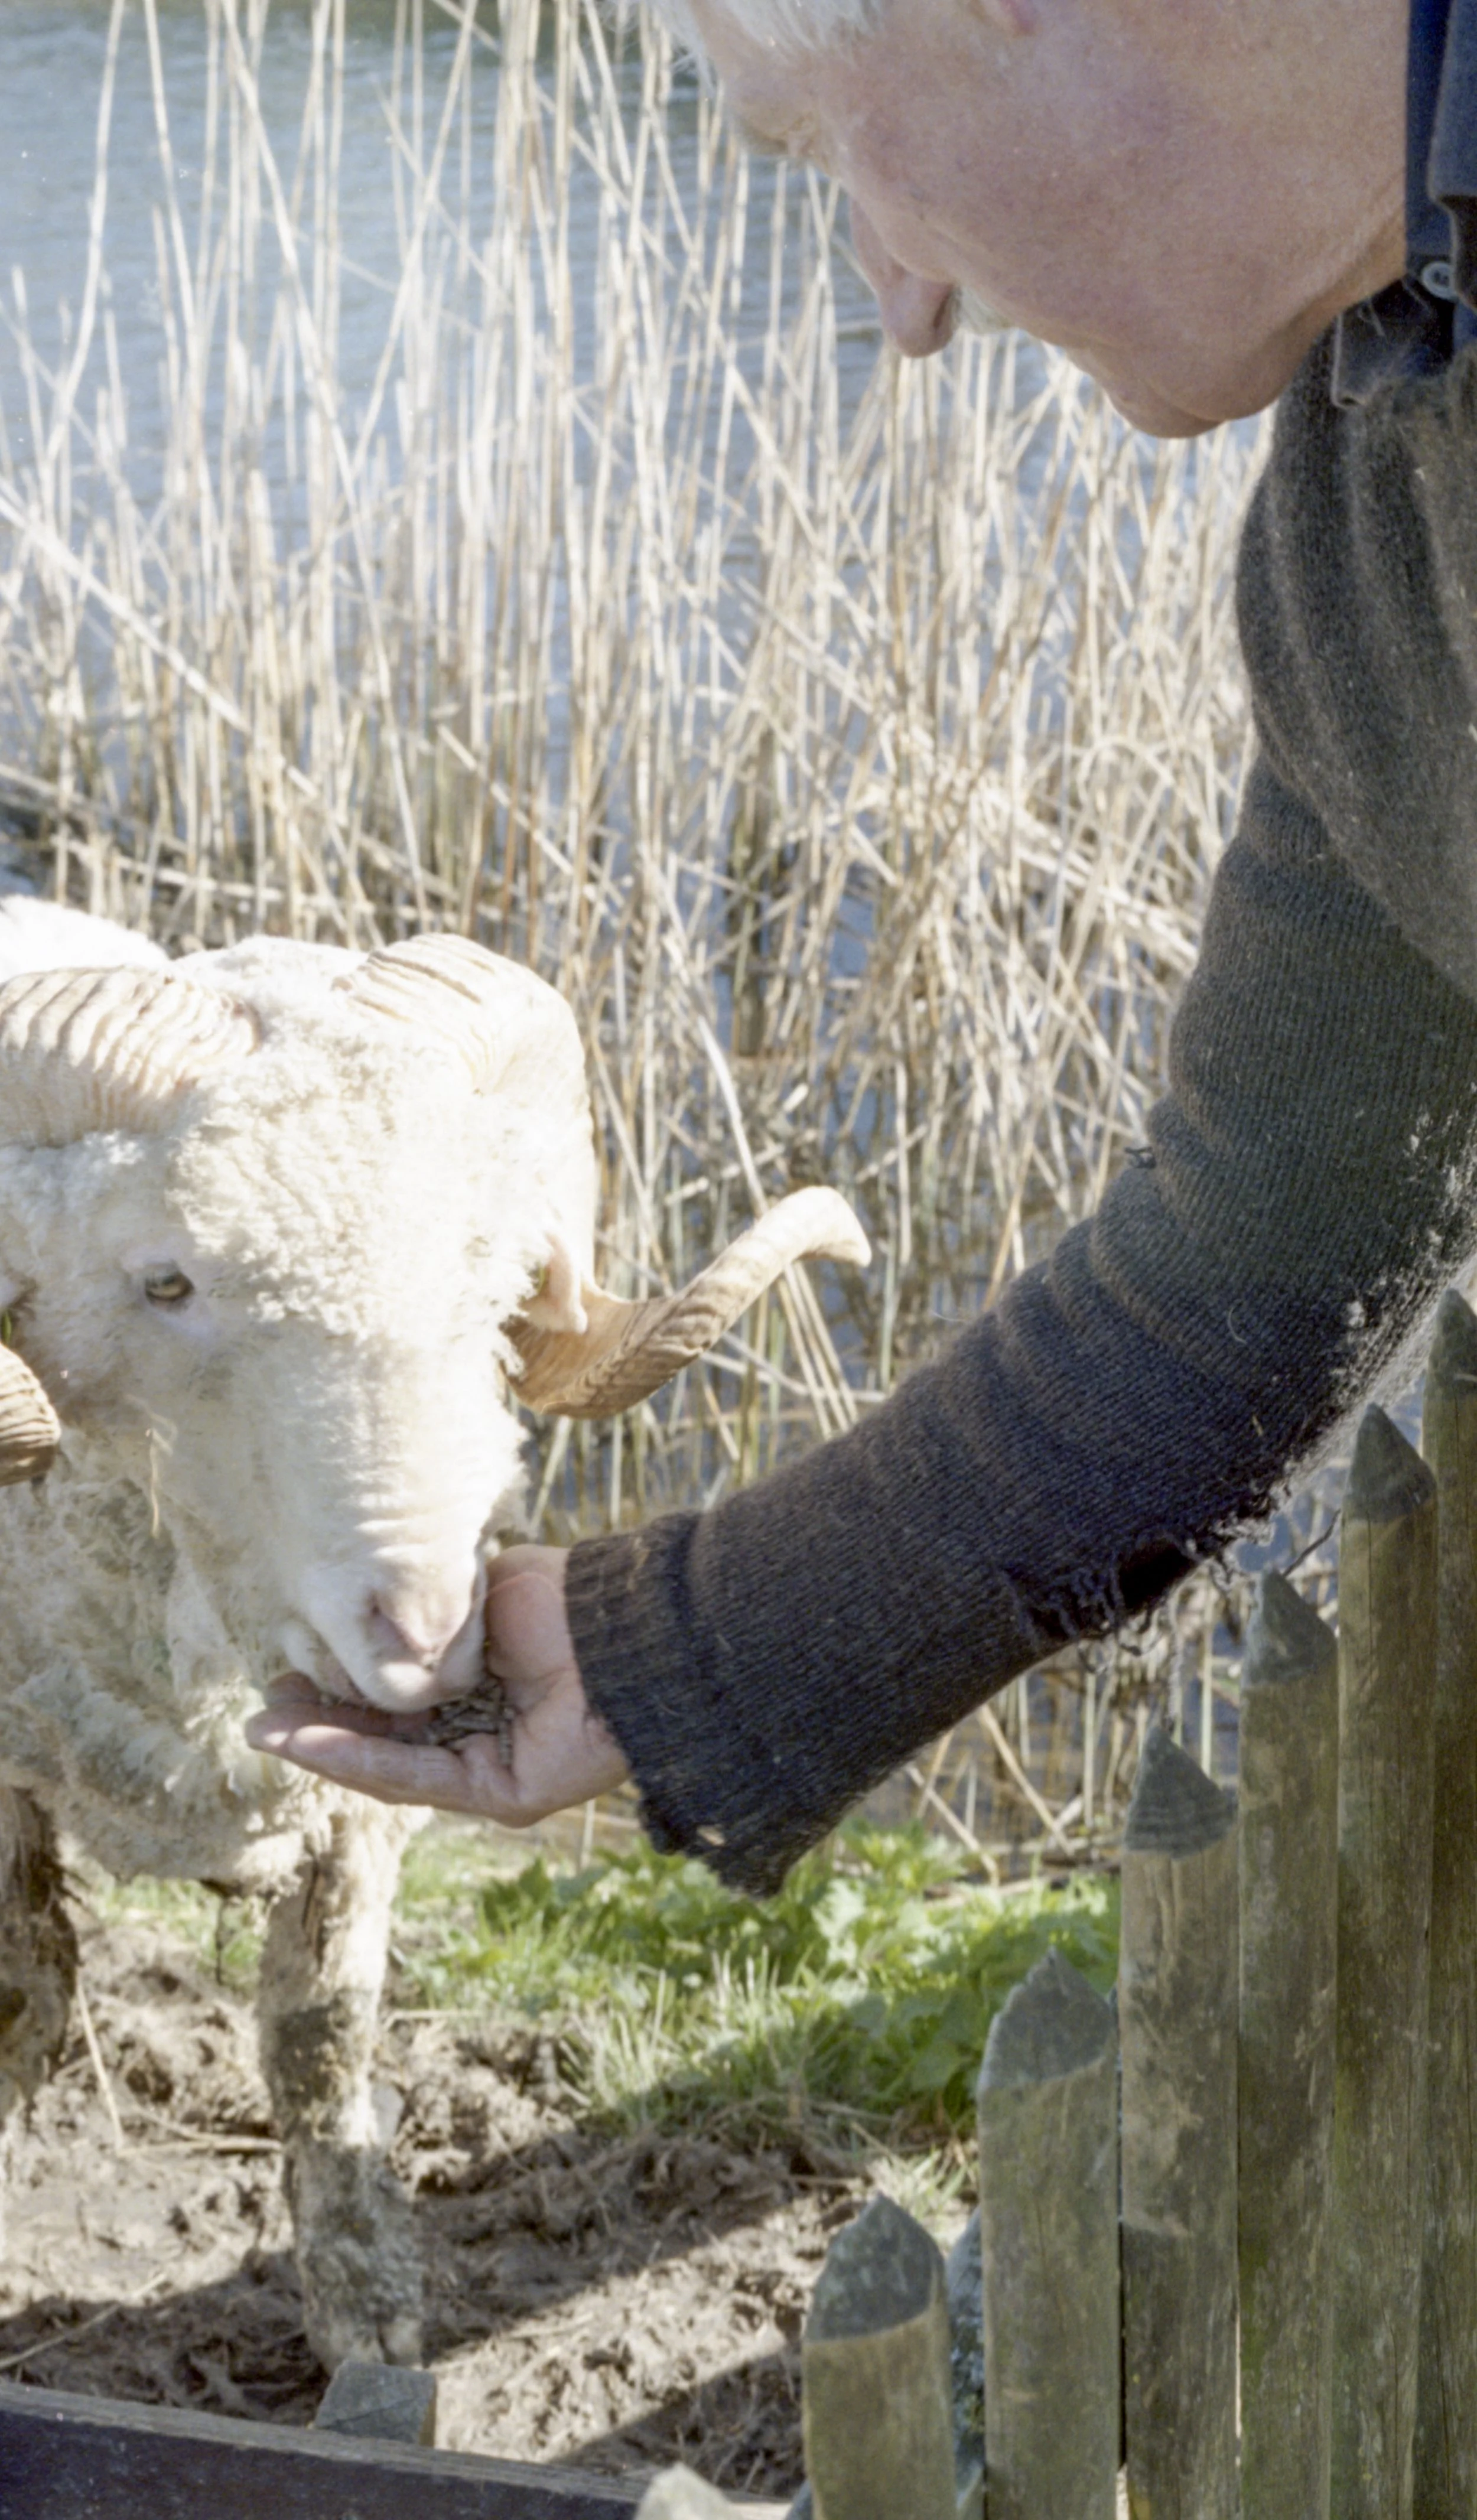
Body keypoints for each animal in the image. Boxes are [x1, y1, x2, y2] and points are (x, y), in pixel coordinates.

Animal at [0, 901, 867, 2369]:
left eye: (497, 1276)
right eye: (165, 1281)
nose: (425, 1632)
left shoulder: (349, 1816)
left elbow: (321, 2044)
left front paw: (367, 2317)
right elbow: (24, 2005)